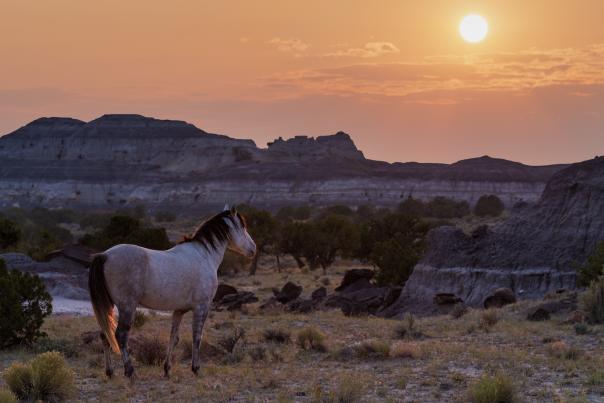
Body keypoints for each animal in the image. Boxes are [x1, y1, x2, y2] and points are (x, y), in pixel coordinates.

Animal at [87, 207, 255, 380]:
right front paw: (196, 368)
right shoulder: (202, 307)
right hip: (127, 306)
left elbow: (173, 338)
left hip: (110, 306)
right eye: (242, 227)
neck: (203, 255)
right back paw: (130, 371)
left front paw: (167, 369)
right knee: (120, 335)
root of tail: (105, 255)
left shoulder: (179, 311)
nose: (253, 249)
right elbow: (197, 337)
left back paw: (110, 372)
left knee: (105, 335)